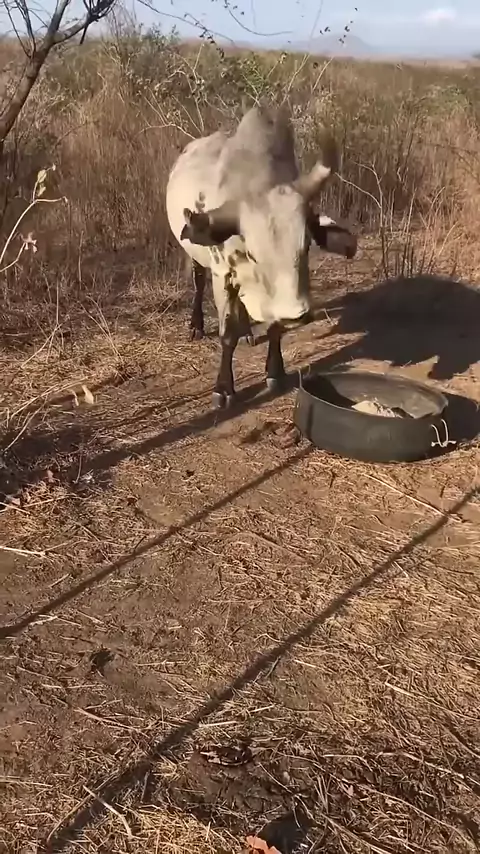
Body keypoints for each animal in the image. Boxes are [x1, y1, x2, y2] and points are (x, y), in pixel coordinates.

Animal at [166, 104, 357, 409]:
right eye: (254, 254)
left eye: (306, 245)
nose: (297, 314)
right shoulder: (223, 275)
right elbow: (227, 335)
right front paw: (223, 388)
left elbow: (273, 327)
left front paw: (275, 372)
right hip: (197, 259)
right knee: (197, 283)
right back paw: (196, 326)